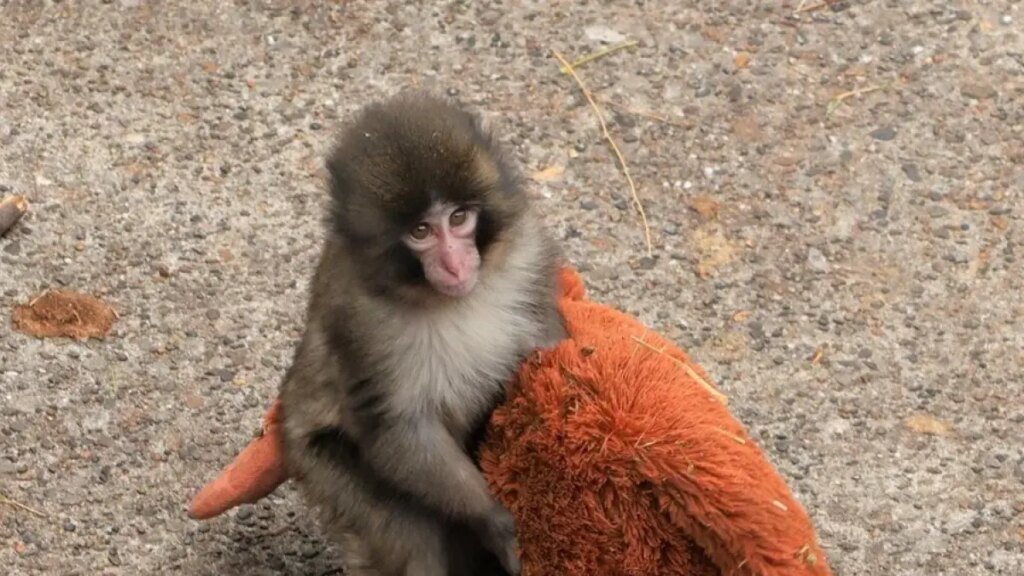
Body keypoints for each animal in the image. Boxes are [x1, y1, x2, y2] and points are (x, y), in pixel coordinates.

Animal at [278, 92, 567, 576]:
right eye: (420, 231)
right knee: (408, 531)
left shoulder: (528, 253)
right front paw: (494, 520)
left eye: (459, 217)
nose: (454, 263)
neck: (448, 299)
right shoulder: (360, 322)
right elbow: (398, 427)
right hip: (321, 465)